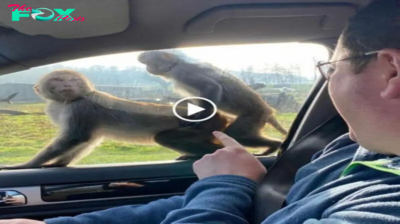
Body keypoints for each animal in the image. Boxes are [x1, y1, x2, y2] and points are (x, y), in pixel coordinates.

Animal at [0, 70, 228, 170]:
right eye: (58, 80)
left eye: (72, 80)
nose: (67, 85)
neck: (68, 100)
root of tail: (220, 115)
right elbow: (86, 140)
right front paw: (60, 163)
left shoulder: (80, 108)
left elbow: (75, 137)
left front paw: (26, 164)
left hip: (203, 125)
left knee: (165, 138)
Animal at [138, 50, 288, 156]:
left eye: (148, 60)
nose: (146, 68)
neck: (174, 66)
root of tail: (268, 110)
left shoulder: (183, 73)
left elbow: (212, 87)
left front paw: (200, 118)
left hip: (255, 115)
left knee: (236, 135)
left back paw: (274, 145)